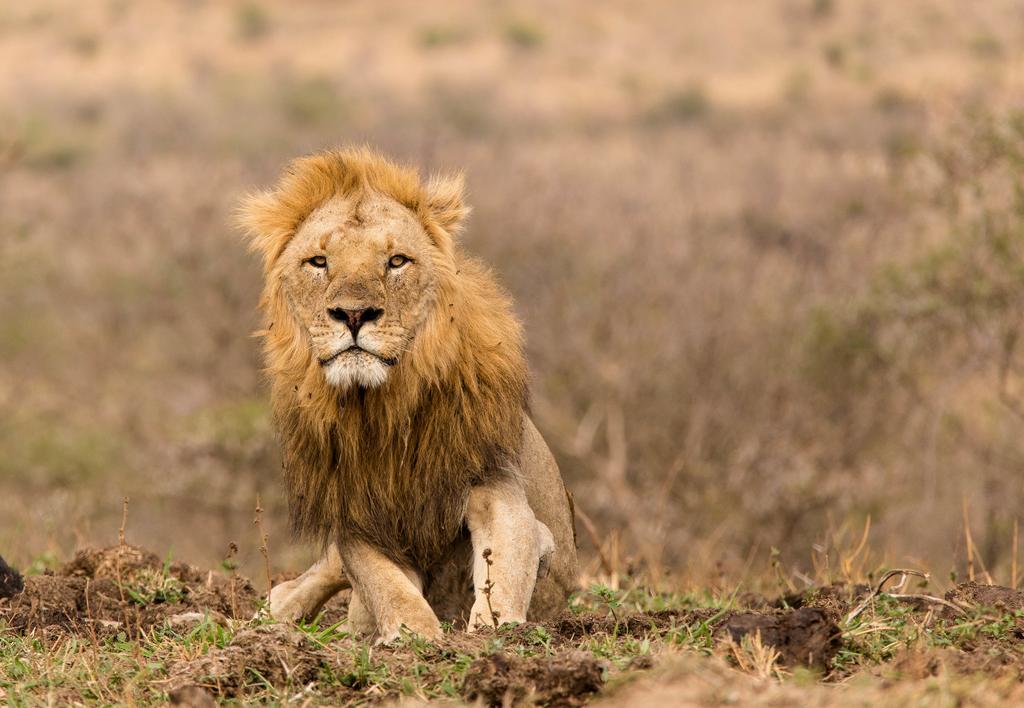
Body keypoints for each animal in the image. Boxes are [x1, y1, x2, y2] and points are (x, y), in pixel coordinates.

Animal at [234, 148, 581, 643]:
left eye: (397, 261)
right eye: (318, 262)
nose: (354, 314)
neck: (380, 407)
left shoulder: (497, 484)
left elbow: (506, 564)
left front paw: (493, 629)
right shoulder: (353, 514)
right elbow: (385, 584)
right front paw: (413, 634)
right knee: (302, 584)